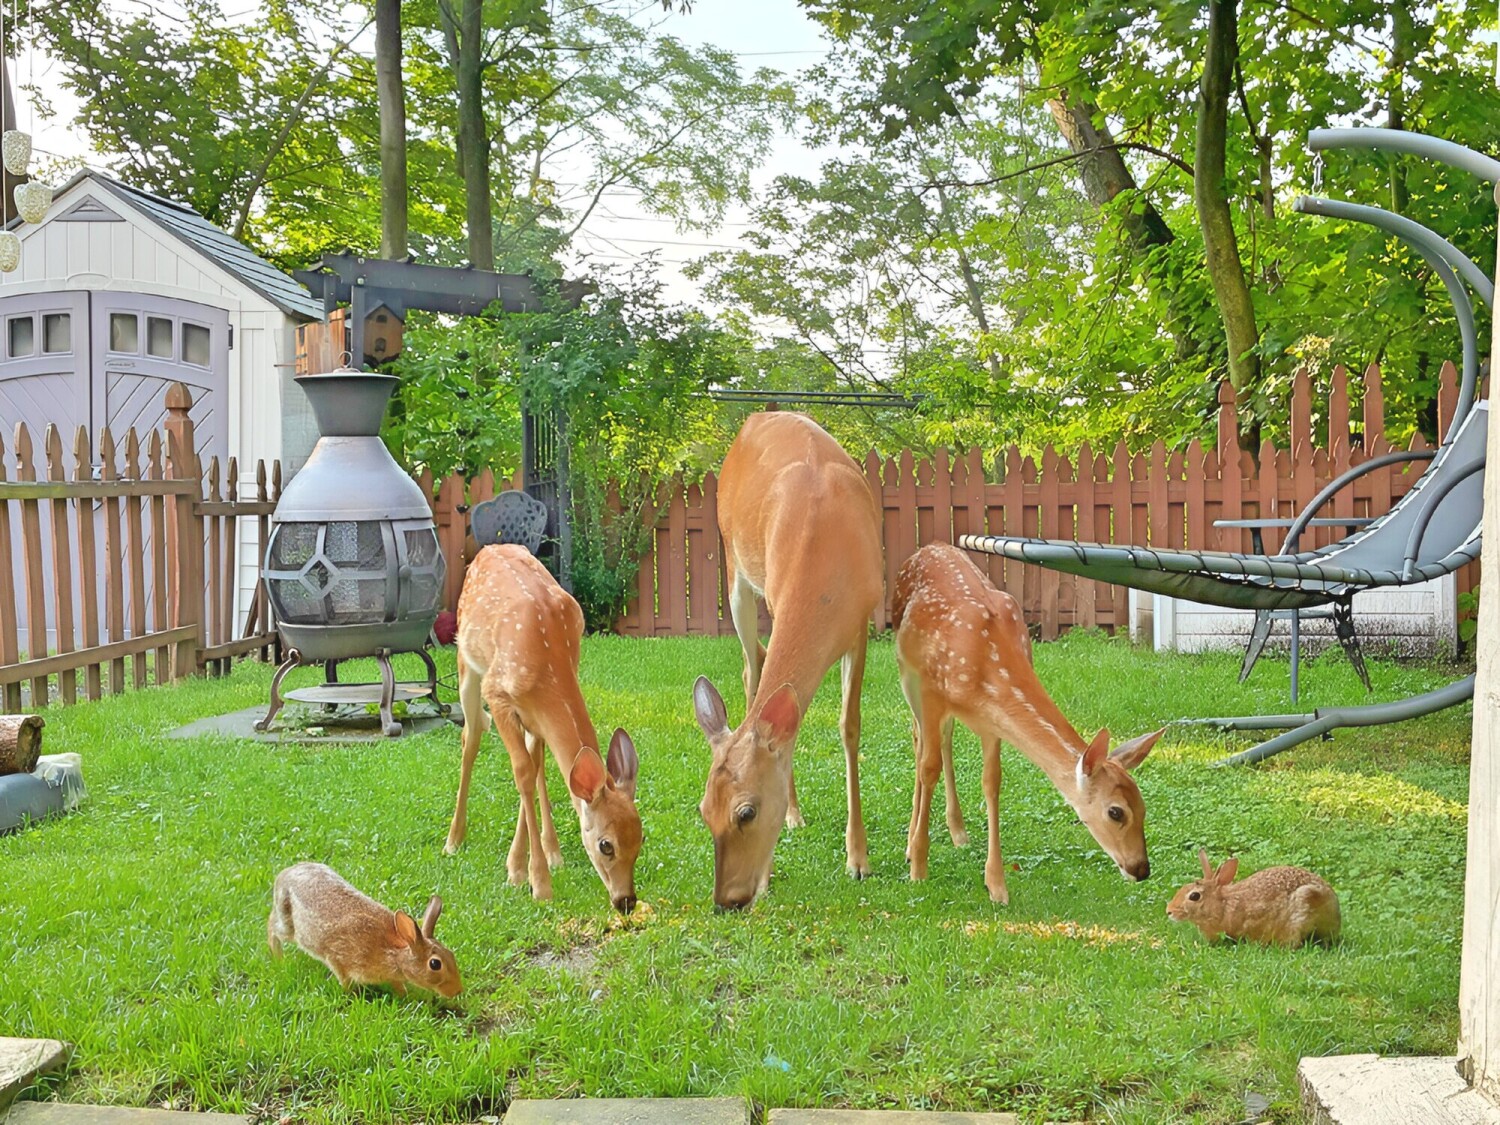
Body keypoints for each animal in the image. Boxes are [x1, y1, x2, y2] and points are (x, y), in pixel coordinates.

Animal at [268, 862, 463, 997]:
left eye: (451, 954)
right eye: (435, 964)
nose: (458, 991)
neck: (395, 954)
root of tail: (284, 874)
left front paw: (404, 995)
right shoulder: (338, 958)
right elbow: (344, 979)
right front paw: (351, 996)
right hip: (288, 925)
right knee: (272, 927)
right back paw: (278, 959)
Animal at [444, 544, 642, 915]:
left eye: (641, 838)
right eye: (606, 845)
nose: (626, 901)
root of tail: (487, 548)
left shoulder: (534, 715)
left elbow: (532, 769)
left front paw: (518, 868)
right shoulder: (498, 694)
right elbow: (521, 771)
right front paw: (539, 884)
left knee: (536, 765)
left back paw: (552, 851)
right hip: (467, 663)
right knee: (471, 736)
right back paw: (453, 839)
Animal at [692, 411, 884, 911]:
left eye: (746, 812)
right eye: (703, 811)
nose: (728, 899)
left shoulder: (864, 622)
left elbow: (849, 725)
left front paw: (858, 858)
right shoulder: (778, 600)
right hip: (734, 568)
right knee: (751, 667)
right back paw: (796, 814)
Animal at [892, 543, 1162, 904]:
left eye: (1144, 807)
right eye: (1115, 811)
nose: (1141, 869)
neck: (984, 659)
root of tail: (927, 547)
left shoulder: (992, 719)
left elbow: (992, 782)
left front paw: (996, 884)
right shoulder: (932, 691)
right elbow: (928, 767)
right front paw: (918, 867)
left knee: (944, 740)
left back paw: (958, 832)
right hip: (908, 673)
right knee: (919, 741)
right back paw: (911, 846)